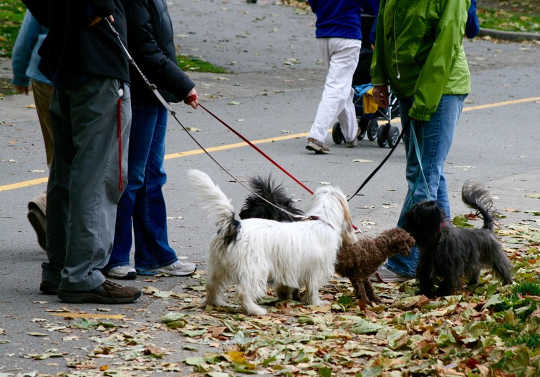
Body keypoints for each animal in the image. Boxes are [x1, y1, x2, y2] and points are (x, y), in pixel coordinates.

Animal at [188, 168, 356, 314]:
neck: (322, 220)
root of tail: (235, 226)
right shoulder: (315, 269)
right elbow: (313, 288)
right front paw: (316, 303)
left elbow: (286, 285)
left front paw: (285, 296)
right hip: (255, 269)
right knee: (243, 292)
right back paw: (255, 310)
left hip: (218, 266)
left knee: (212, 286)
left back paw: (216, 303)